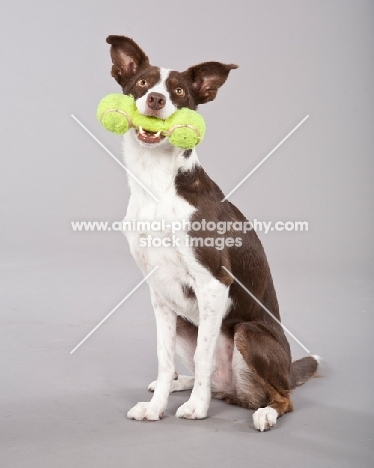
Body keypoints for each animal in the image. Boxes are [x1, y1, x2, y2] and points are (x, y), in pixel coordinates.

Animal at [105, 35, 318, 432]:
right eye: (142, 83)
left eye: (178, 91)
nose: (155, 99)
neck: (157, 183)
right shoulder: (159, 292)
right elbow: (164, 357)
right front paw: (156, 406)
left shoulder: (214, 282)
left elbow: (204, 358)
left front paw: (196, 407)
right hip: (184, 319)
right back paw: (179, 383)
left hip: (248, 332)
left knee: (283, 397)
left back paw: (263, 410)